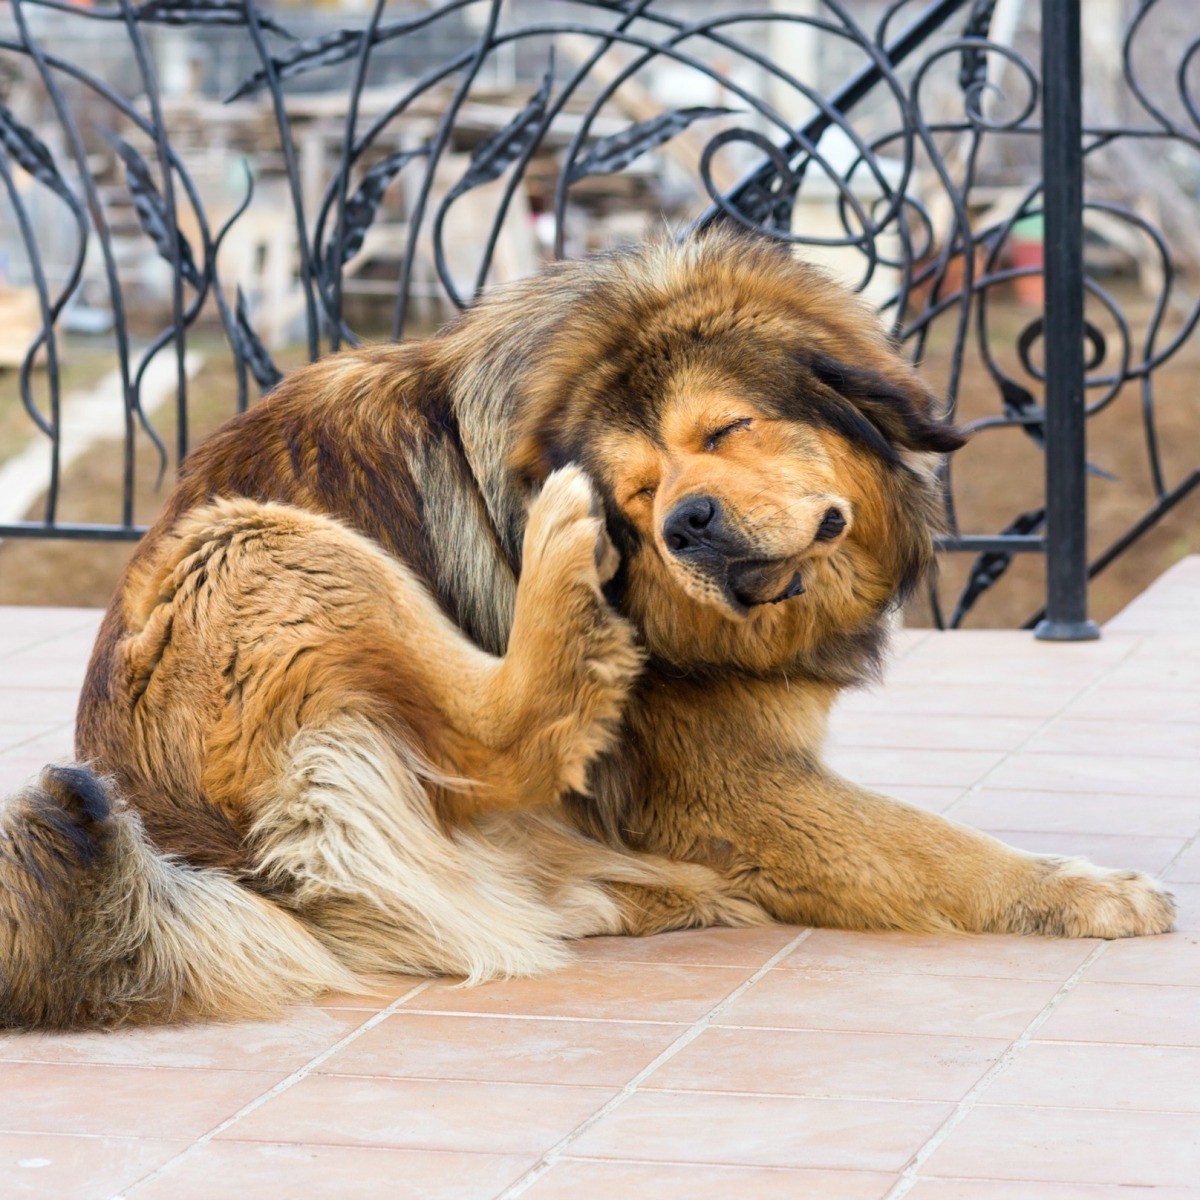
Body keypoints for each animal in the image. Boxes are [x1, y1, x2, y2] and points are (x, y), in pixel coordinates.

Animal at [0, 234, 1171, 1032]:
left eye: (727, 430)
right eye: (641, 491)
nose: (685, 522)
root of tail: (178, 848)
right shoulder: (733, 786)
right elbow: (939, 847)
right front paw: (1081, 891)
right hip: (256, 542)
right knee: (503, 736)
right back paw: (562, 573)